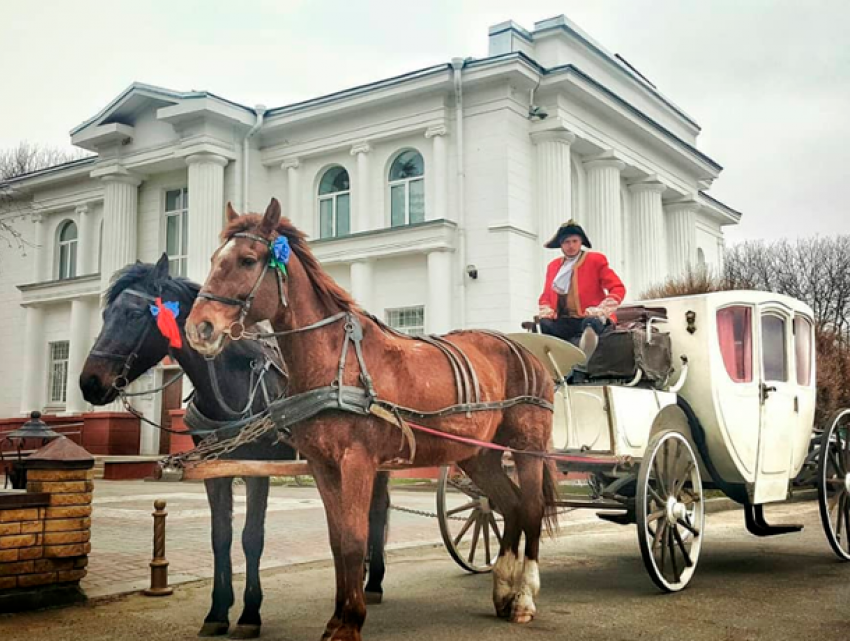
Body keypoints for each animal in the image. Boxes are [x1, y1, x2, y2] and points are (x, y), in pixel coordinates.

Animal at [79, 254, 390, 636]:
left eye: (135, 315)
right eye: (106, 314)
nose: (90, 383)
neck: (234, 382)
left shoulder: (259, 467)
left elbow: (251, 536)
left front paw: (249, 613)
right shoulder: (214, 469)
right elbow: (221, 536)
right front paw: (217, 611)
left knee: (377, 512)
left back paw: (372, 582)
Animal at [186, 200, 556, 640]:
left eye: (247, 259)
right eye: (214, 259)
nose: (198, 327)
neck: (336, 361)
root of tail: (526, 349)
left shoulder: (357, 461)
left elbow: (354, 538)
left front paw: (350, 621)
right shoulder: (323, 466)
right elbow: (337, 539)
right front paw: (337, 617)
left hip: (527, 448)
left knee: (530, 509)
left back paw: (524, 597)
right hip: (478, 456)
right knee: (510, 506)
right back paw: (502, 591)